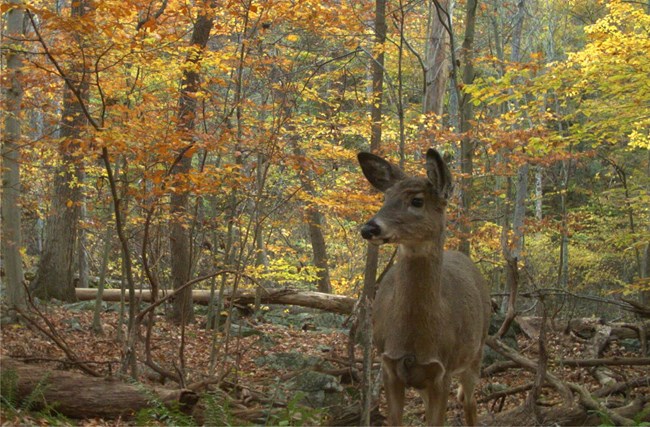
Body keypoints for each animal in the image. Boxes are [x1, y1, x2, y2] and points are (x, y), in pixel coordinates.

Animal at [356, 149, 488, 426]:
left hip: (476, 352)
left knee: (469, 402)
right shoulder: (390, 366)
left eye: (417, 201)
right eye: (386, 197)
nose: (369, 228)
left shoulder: (442, 370)